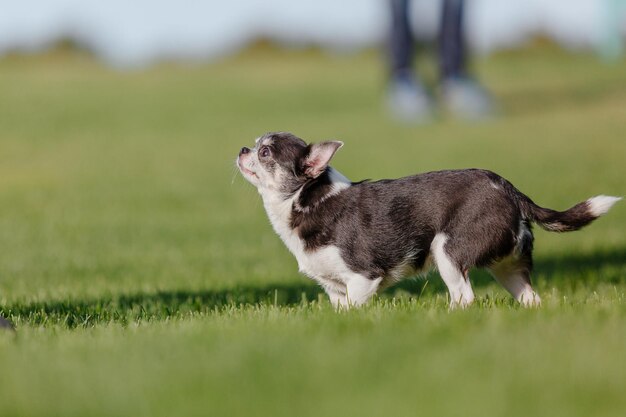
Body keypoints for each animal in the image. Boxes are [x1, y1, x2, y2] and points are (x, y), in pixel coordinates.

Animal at [236, 132, 616, 308]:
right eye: (255, 144)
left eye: (265, 152)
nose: (242, 149)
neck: (304, 202)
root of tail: (510, 190)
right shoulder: (334, 290)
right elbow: (342, 310)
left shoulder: (363, 278)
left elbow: (358, 308)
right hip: (508, 266)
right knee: (529, 297)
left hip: (448, 252)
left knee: (464, 297)